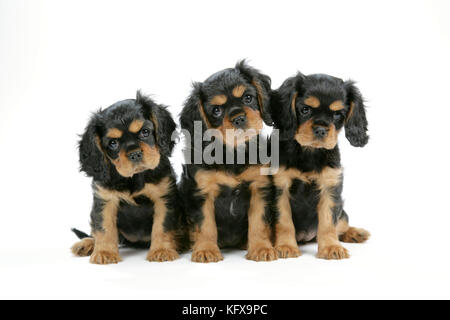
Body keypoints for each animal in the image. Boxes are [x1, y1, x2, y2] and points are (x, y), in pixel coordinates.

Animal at [71, 91, 182, 264]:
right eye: (113, 143)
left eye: (145, 132)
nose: (135, 154)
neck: (134, 178)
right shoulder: (105, 200)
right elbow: (104, 228)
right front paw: (105, 252)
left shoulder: (164, 197)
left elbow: (162, 226)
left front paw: (162, 250)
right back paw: (87, 244)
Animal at [179, 60, 278, 262]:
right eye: (216, 110)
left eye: (248, 98)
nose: (238, 118)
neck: (232, 153)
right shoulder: (202, 192)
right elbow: (205, 224)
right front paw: (206, 250)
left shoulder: (259, 187)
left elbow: (259, 222)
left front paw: (261, 248)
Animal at [268, 73, 370, 260]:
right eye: (305, 109)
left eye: (338, 114)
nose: (321, 130)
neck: (310, 152)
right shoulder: (280, 188)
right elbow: (284, 221)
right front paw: (286, 246)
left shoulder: (330, 188)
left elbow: (328, 223)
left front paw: (331, 247)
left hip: (341, 210)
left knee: (342, 223)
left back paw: (355, 233)